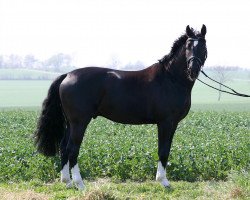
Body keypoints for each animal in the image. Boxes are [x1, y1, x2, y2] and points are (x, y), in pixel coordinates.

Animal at [34, 25, 208, 189]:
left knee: (64, 147)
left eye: (203, 46)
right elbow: (163, 150)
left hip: (71, 123)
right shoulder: (165, 122)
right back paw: (80, 184)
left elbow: (167, 149)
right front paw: (163, 181)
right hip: (79, 122)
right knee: (72, 149)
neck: (170, 79)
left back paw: (68, 182)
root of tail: (68, 75)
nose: (193, 70)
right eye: (188, 46)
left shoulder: (173, 123)